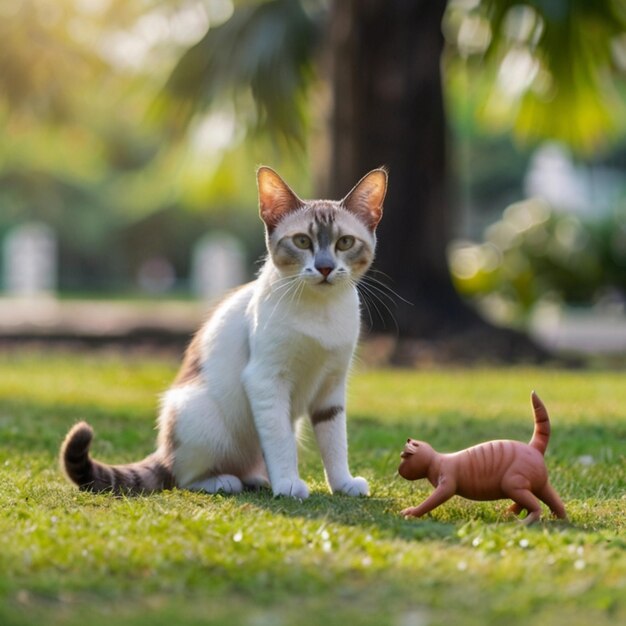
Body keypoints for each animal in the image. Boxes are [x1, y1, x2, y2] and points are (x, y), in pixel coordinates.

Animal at [62, 165, 386, 498]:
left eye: (344, 243)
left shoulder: (332, 384)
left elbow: (335, 441)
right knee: (183, 477)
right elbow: (279, 439)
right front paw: (288, 484)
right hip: (201, 419)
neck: (320, 311)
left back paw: (257, 479)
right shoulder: (264, 379)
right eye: (302, 241)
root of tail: (164, 451)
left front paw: (343, 483)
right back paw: (224, 481)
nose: (324, 268)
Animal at [400, 390, 564, 520]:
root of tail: (534, 448)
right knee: (554, 501)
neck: (435, 460)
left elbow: (432, 501)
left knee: (535, 506)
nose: (399, 469)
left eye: (404, 456)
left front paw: (411, 513)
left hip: (513, 482)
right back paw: (557, 520)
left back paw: (520, 522)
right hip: (538, 484)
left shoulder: (447, 482)